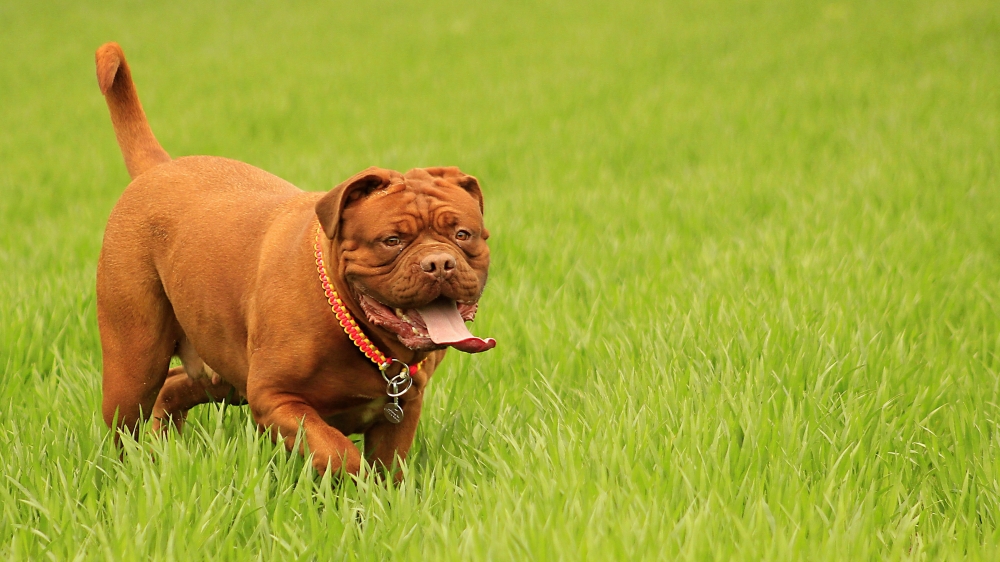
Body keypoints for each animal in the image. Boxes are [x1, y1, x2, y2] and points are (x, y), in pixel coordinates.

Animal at [95, 42, 494, 476]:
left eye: (462, 235)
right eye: (392, 241)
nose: (439, 263)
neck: (355, 327)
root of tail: (159, 167)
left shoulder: (402, 409)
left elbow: (388, 468)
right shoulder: (276, 399)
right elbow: (338, 452)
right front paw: (356, 483)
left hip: (221, 370)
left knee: (174, 386)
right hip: (134, 362)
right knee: (127, 419)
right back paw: (126, 471)